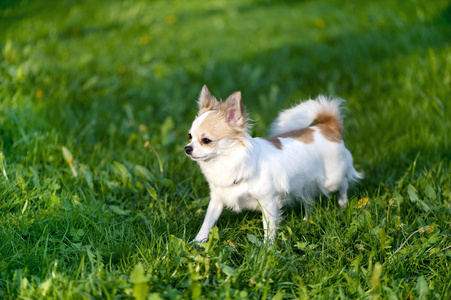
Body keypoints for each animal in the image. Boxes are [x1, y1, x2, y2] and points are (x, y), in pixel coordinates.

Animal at [185, 85, 364, 244]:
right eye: (189, 136)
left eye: (206, 140)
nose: (187, 148)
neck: (225, 161)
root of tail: (328, 127)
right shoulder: (217, 199)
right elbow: (208, 221)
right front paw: (198, 241)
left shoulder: (268, 202)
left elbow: (269, 226)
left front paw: (267, 247)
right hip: (304, 184)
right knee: (309, 200)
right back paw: (307, 219)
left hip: (331, 181)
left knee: (344, 183)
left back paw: (343, 204)